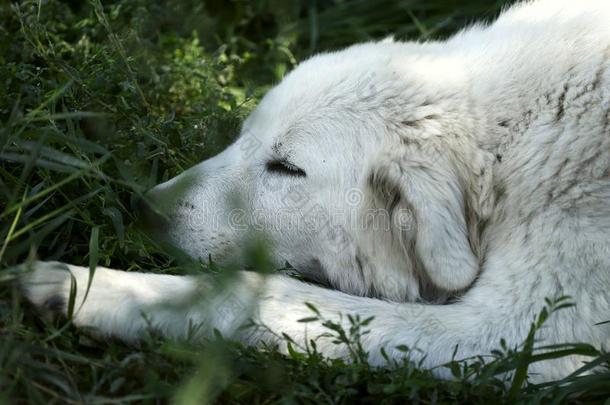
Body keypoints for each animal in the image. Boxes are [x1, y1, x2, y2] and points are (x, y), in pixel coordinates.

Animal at [23, 0, 608, 382]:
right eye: (243, 138)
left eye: (286, 167)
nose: (144, 210)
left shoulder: (528, 335)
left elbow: (256, 295)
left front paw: (87, 287)